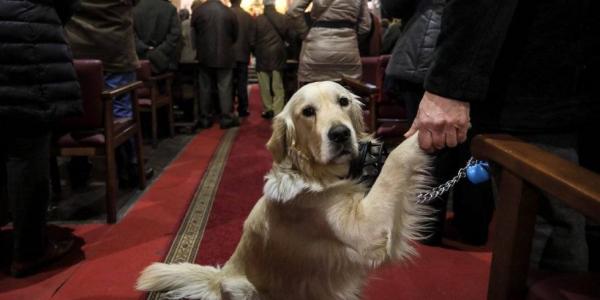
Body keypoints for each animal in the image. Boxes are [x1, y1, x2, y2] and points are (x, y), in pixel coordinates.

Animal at [136, 81, 428, 298]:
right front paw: (428, 123)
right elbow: (397, 158)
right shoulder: (366, 232)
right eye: (308, 111)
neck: (319, 176)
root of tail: (219, 276)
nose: (340, 134)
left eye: (343, 102)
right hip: (241, 286)